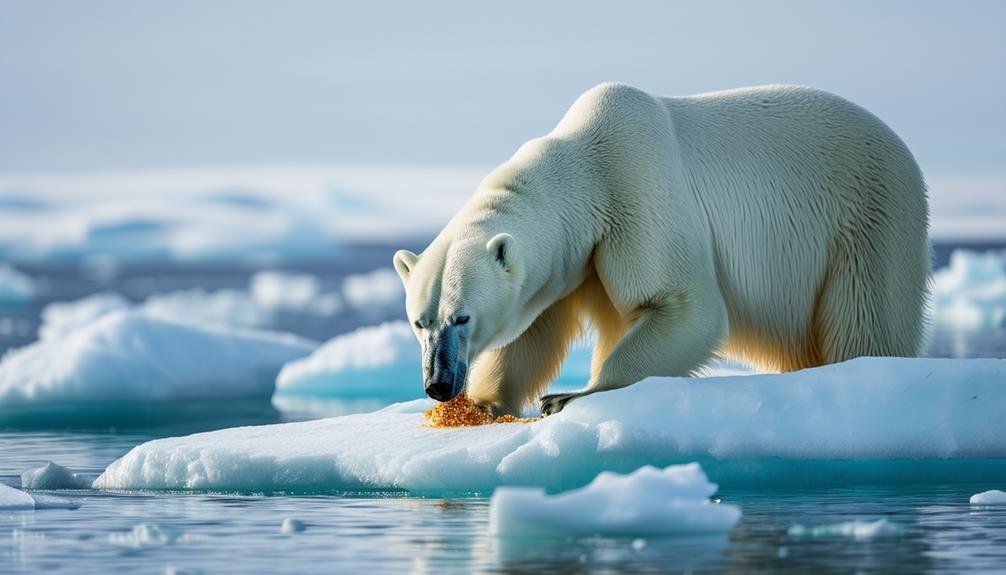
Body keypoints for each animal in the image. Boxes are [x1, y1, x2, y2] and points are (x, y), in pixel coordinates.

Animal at [390, 82, 925, 416]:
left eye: (462, 317)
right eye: (419, 321)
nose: (438, 384)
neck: (584, 165)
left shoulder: (636, 186)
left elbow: (685, 306)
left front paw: (569, 397)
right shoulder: (574, 262)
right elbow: (533, 334)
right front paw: (481, 403)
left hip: (868, 220)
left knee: (867, 322)